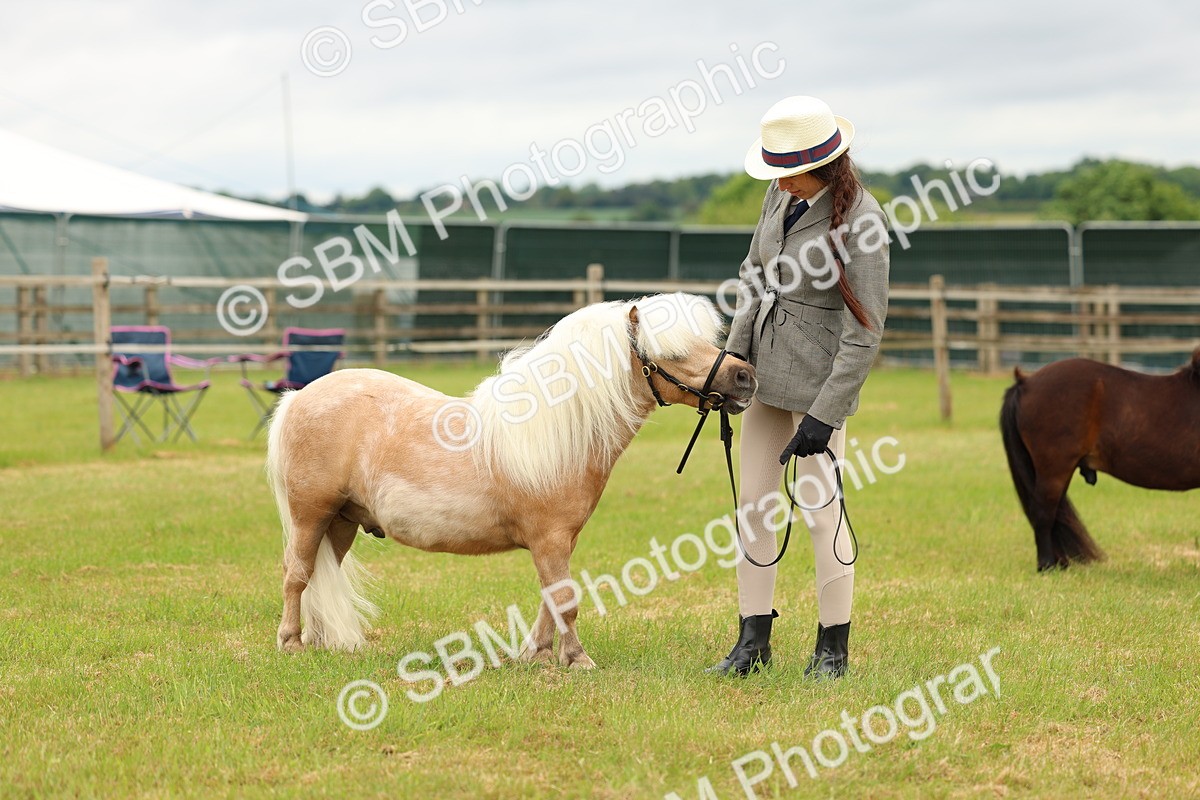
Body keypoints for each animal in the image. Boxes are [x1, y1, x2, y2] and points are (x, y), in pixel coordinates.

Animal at [267, 292, 756, 668]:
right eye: (672, 353)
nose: (745, 376)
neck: (560, 432)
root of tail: (298, 399)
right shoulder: (550, 539)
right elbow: (566, 599)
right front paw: (577, 660)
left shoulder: (558, 541)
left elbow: (551, 597)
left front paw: (537, 654)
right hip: (311, 515)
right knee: (297, 573)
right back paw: (292, 644)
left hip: (342, 521)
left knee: (319, 575)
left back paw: (324, 643)